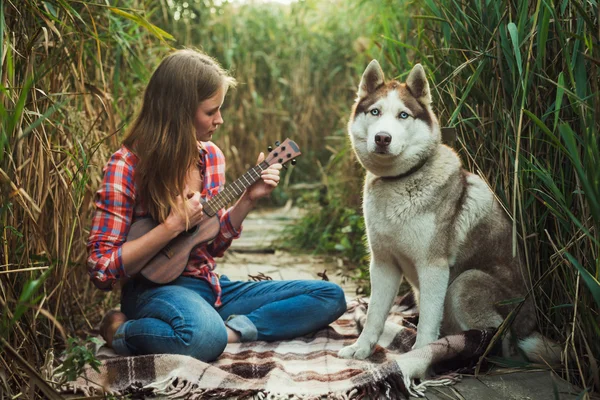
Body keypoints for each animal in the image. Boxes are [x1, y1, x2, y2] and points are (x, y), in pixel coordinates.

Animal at [340, 60, 560, 366]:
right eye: (375, 112)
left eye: (403, 115)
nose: (382, 138)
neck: (400, 181)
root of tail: (532, 326)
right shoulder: (383, 264)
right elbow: (373, 315)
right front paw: (361, 349)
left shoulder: (434, 267)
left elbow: (427, 323)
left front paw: (420, 356)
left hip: (464, 284)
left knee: (501, 343)